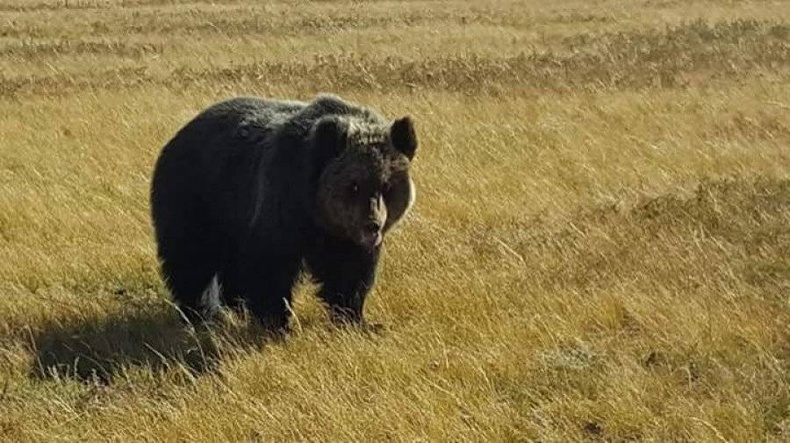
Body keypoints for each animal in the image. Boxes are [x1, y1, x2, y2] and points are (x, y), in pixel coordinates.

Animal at [150, 94, 420, 332]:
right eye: (354, 186)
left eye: (387, 186)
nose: (372, 224)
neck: (317, 215)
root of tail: (181, 132)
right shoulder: (281, 205)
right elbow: (269, 266)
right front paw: (277, 322)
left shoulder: (344, 239)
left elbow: (350, 273)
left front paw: (357, 319)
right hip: (197, 198)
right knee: (190, 257)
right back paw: (197, 312)